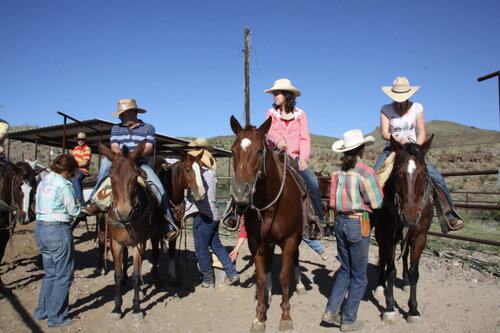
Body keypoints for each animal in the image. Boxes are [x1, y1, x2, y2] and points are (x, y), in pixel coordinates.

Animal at [97, 142, 160, 320]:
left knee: (156, 254)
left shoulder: (140, 243)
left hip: (155, 235)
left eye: (134, 177)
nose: (124, 213)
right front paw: (117, 308)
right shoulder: (116, 243)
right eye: (111, 177)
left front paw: (137, 308)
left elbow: (136, 276)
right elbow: (117, 275)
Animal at [155, 149, 204, 282]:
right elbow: (155, 251)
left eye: (201, 170)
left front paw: (172, 275)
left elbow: (172, 249)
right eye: (187, 169)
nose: (202, 193)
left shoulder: (175, 225)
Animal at [230, 115, 304, 330]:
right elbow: (261, 278)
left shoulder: (289, 240)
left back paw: (300, 285)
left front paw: (286, 316)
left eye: (259, 150)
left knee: (296, 259)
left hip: (298, 237)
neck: (270, 204)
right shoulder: (256, 242)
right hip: (268, 242)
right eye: (233, 150)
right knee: (270, 263)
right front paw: (260, 316)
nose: (240, 192)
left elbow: (285, 277)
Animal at [374, 134, 436, 322]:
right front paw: (389, 307)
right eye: (397, 174)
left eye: (423, 174)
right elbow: (391, 271)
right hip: (380, 234)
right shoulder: (388, 236)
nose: (409, 217)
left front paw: (413, 309)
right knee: (382, 255)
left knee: (405, 253)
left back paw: (406, 281)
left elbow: (415, 272)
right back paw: (380, 283)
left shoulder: (420, 237)